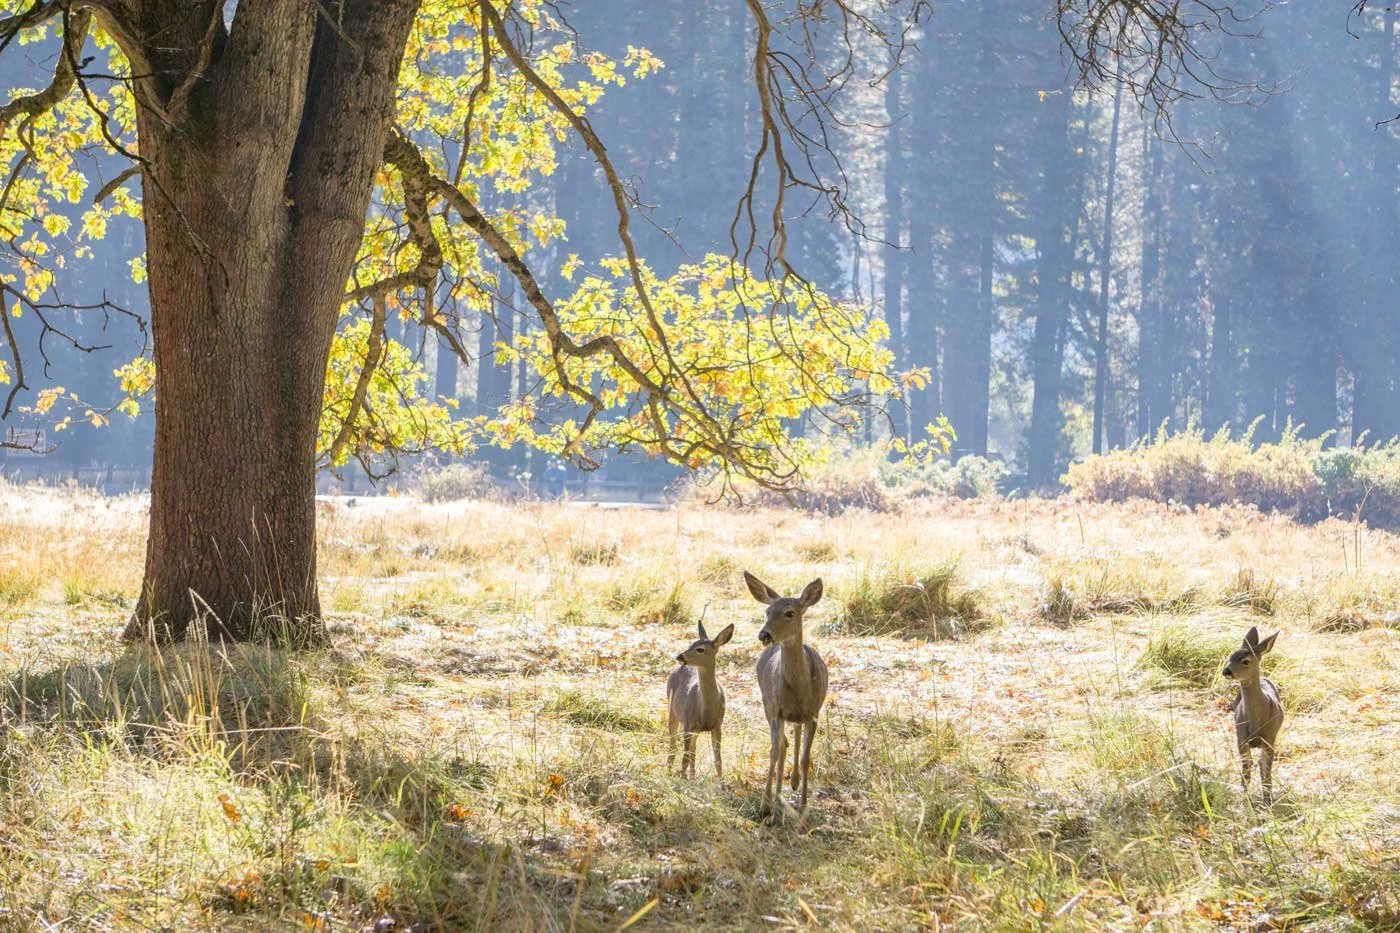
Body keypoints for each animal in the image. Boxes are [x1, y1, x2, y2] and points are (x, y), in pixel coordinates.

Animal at [666, 621, 734, 778]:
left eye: (700, 649)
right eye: (691, 644)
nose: (680, 657)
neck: (706, 711)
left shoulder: (717, 725)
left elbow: (718, 759)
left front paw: (720, 781)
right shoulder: (688, 723)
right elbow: (685, 757)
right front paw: (682, 779)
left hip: (694, 730)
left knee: (693, 752)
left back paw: (691, 776)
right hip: (672, 711)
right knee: (673, 747)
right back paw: (669, 772)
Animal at [744, 571, 828, 817]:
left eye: (790, 613)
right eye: (767, 612)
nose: (764, 635)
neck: (799, 689)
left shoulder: (813, 713)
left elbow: (806, 758)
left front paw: (804, 804)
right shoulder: (775, 710)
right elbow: (775, 751)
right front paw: (765, 805)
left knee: (795, 737)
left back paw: (793, 783)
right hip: (766, 703)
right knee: (783, 746)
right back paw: (779, 793)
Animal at [1221, 625, 1284, 805]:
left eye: (1246, 661)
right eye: (1231, 656)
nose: (1226, 671)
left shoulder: (1270, 737)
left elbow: (1266, 770)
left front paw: (1267, 801)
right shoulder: (1241, 737)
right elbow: (1246, 771)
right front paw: (1245, 798)